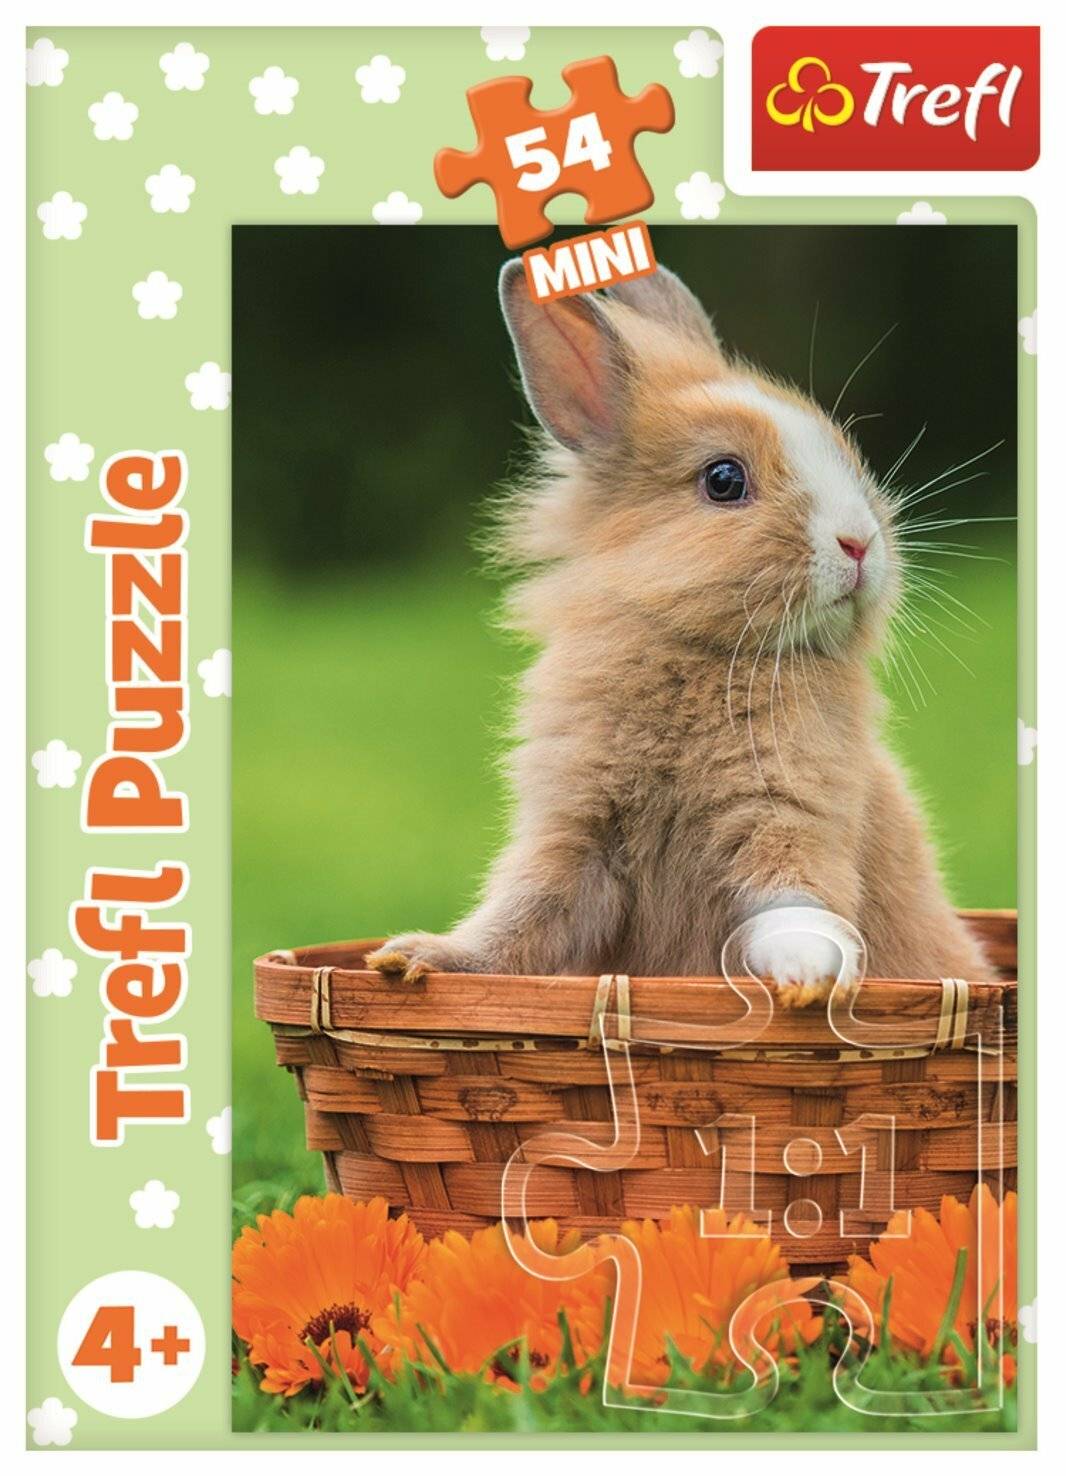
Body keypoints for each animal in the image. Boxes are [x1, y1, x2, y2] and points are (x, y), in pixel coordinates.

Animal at [368, 260, 990, 1004]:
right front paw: (415, 958)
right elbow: (521, 919)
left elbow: (795, 901)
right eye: (723, 479)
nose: (860, 544)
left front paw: (806, 981)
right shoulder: (573, 839)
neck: (699, 655)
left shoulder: (792, 817)